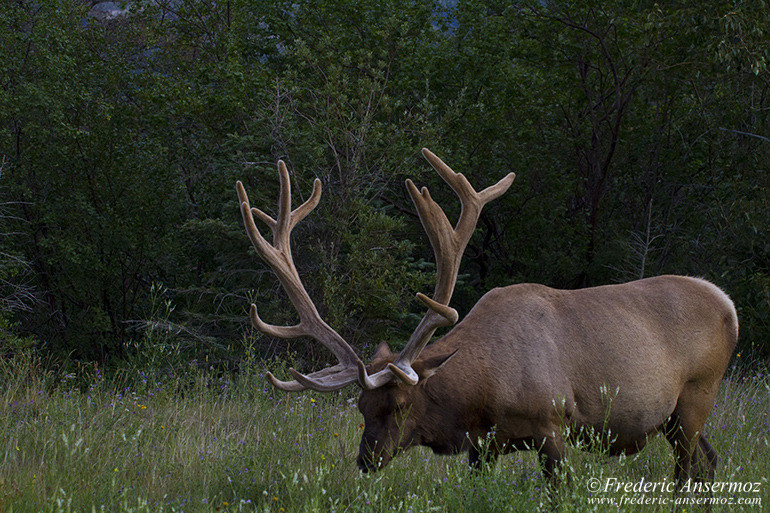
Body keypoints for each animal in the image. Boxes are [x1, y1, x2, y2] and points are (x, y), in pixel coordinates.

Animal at [236, 149, 736, 488]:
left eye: (399, 405)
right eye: (360, 407)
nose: (366, 461)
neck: (484, 394)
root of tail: (728, 304)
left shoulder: (554, 424)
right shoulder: (484, 448)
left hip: (697, 396)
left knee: (689, 470)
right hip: (675, 417)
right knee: (708, 463)